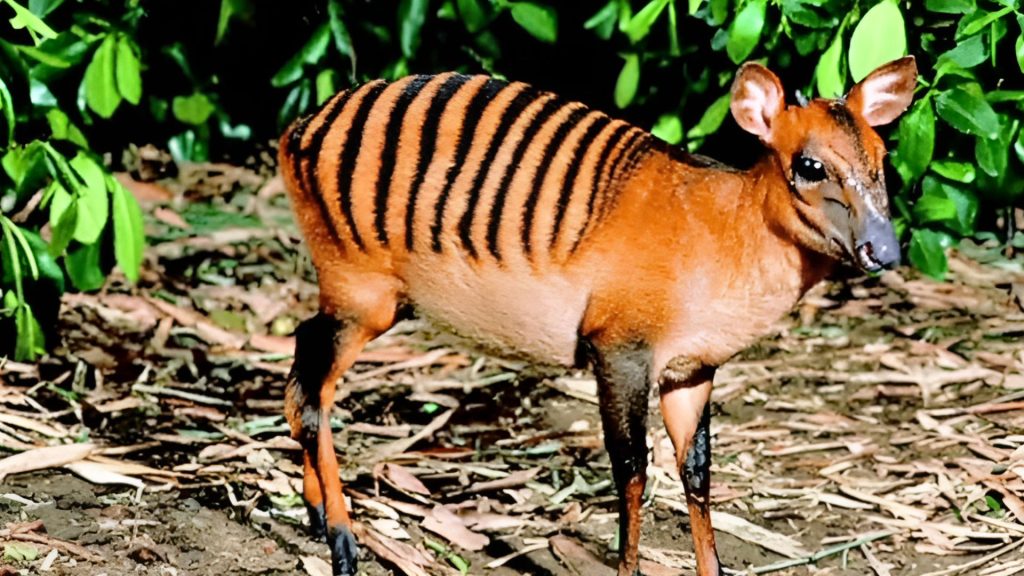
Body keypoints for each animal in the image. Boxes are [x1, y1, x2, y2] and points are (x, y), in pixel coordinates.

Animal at [278, 54, 921, 573]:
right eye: (809, 167)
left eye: (883, 158)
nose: (885, 251)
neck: (726, 228)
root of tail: (300, 128)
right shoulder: (619, 348)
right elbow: (633, 468)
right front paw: (628, 566)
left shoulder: (692, 369)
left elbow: (696, 470)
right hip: (361, 288)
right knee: (311, 383)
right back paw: (341, 538)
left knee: (302, 370)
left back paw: (315, 512)